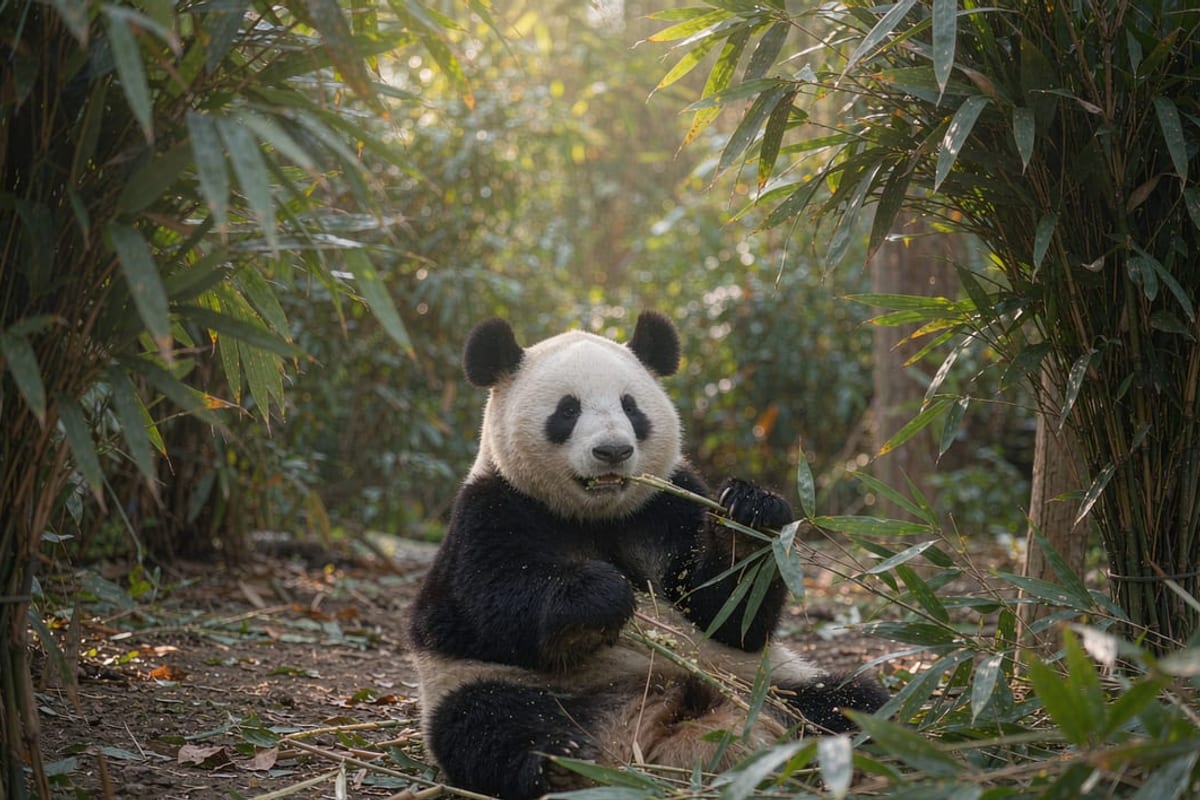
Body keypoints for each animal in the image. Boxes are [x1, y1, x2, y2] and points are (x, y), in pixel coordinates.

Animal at [407, 311, 887, 799]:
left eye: (631, 407)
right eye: (567, 410)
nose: (613, 451)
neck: (596, 516)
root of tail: (657, 726)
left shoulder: (665, 505)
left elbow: (726, 614)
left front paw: (751, 516)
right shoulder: (493, 508)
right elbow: (481, 604)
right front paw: (599, 597)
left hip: (766, 681)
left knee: (849, 703)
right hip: (491, 687)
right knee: (487, 724)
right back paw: (559, 761)